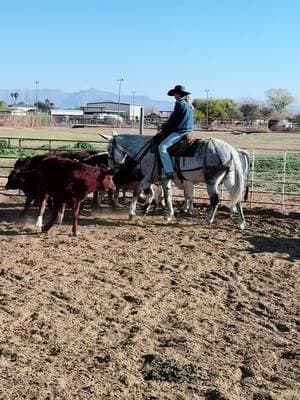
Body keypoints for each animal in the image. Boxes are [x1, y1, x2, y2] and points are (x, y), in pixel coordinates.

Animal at [105, 133, 246, 228]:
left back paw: (208, 220)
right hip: (228, 179)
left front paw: (131, 213)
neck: (149, 151)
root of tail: (231, 150)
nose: (111, 168)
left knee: (215, 200)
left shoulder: (149, 177)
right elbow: (167, 195)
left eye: (109, 149)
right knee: (236, 196)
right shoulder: (164, 178)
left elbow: (138, 191)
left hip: (212, 181)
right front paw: (168, 215)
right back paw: (241, 222)